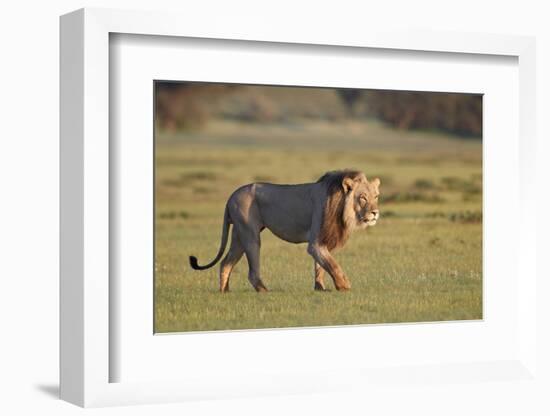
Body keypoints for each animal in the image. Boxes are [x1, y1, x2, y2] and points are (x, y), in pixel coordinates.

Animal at [188, 169, 382, 292]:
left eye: (376, 196)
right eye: (362, 198)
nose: (375, 213)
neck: (341, 206)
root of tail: (231, 197)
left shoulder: (323, 239)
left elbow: (321, 265)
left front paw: (320, 288)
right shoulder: (315, 242)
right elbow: (333, 264)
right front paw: (344, 286)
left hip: (238, 235)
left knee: (226, 263)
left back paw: (224, 292)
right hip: (250, 235)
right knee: (251, 272)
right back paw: (265, 291)